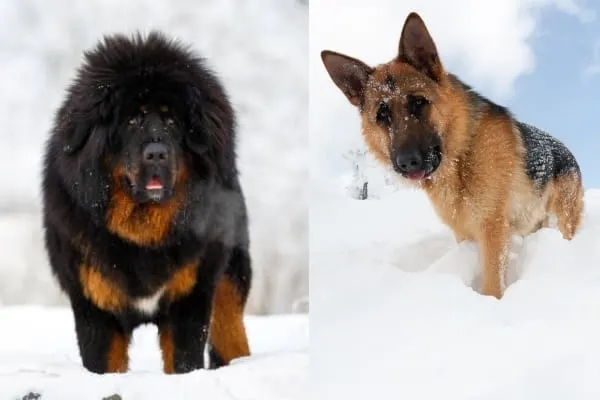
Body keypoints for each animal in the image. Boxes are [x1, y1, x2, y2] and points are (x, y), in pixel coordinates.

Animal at [322, 11, 584, 296]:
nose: (407, 163)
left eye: (418, 102)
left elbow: (492, 285)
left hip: (563, 219)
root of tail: (569, 152)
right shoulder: (465, 234)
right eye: (382, 116)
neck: (462, 153)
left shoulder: (492, 231)